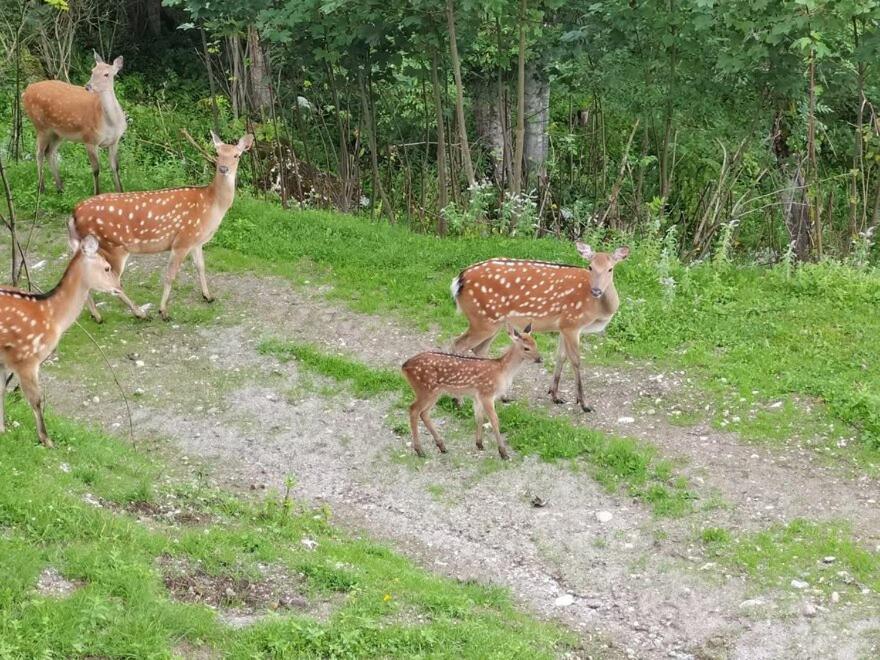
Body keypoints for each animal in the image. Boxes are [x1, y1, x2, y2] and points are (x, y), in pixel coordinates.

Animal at [0, 235, 122, 446]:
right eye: (107, 267)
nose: (119, 287)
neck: (52, 316)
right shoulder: (26, 357)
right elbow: (36, 399)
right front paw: (46, 440)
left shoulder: (4, 360)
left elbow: (1, 391)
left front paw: (2, 430)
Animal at [22, 51, 127, 196]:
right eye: (92, 71)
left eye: (107, 74)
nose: (88, 86)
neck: (110, 124)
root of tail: (25, 91)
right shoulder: (89, 139)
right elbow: (96, 169)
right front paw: (97, 194)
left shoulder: (115, 141)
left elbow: (115, 167)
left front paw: (120, 192)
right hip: (40, 125)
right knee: (39, 153)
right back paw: (41, 188)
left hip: (58, 133)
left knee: (50, 152)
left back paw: (60, 188)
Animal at [69, 131, 254, 322]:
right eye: (217, 153)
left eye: (236, 155)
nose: (223, 168)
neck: (211, 205)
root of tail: (75, 213)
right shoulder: (182, 241)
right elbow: (170, 275)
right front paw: (163, 311)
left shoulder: (195, 241)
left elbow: (201, 267)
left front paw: (208, 296)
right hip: (113, 247)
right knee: (113, 280)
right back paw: (140, 313)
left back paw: (97, 315)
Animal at [402, 324, 540, 458]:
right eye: (526, 348)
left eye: (536, 344)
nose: (540, 359)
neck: (502, 371)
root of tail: (404, 366)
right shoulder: (487, 393)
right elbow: (494, 420)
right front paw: (503, 452)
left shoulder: (477, 396)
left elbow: (479, 417)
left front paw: (479, 444)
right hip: (426, 389)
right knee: (414, 409)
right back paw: (420, 450)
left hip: (434, 391)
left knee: (424, 413)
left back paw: (441, 446)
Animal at [450, 242, 628, 412]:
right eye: (590, 266)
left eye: (611, 268)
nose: (596, 290)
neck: (599, 309)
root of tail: (458, 280)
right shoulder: (572, 323)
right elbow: (576, 360)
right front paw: (584, 404)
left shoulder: (563, 326)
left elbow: (560, 356)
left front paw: (555, 395)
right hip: (483, 319)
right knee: (458, 344)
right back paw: (458, 401)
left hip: (494, 321)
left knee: (479, 349)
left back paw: (502, 396)